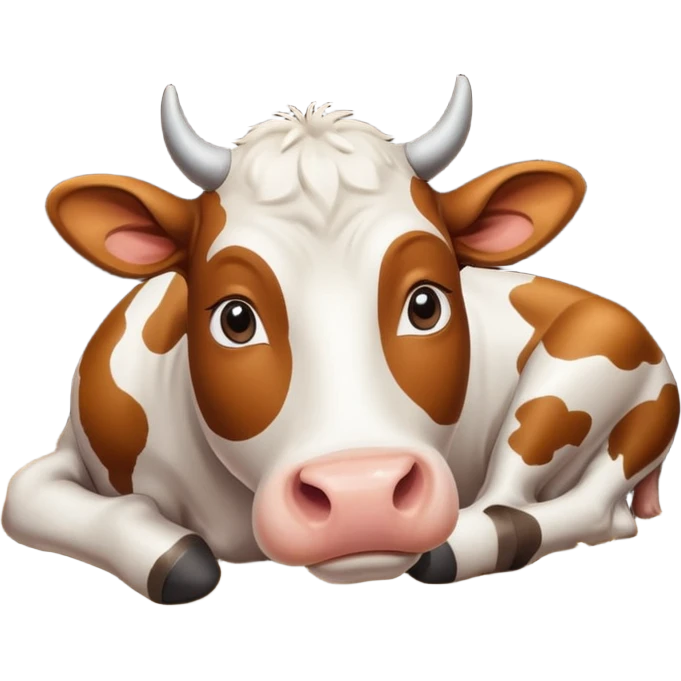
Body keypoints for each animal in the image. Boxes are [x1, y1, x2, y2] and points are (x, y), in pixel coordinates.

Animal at [3, 75, 678, 605]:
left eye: (426, 303)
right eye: (235, 317)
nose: (363, 496)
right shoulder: (69, 446)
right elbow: (22, 495)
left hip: (576, 382)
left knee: (565, 504)